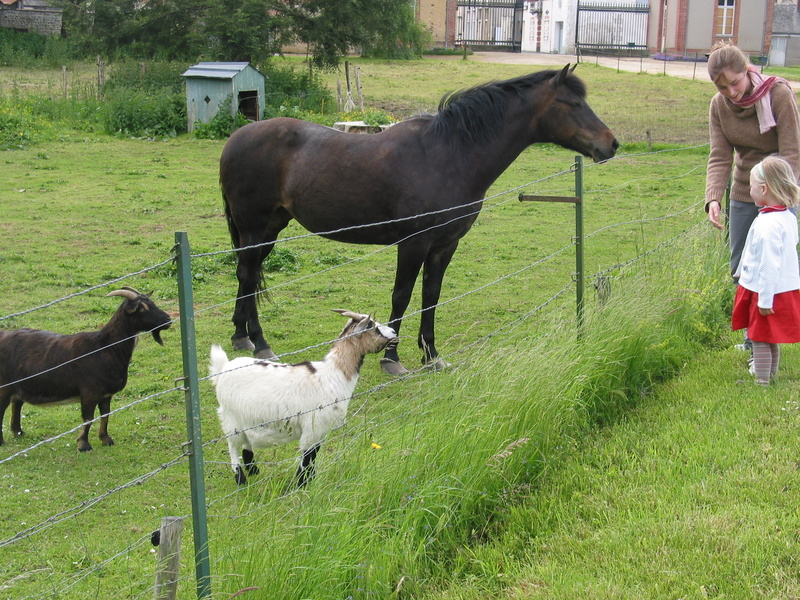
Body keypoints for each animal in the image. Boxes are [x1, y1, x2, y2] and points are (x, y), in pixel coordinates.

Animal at [0, 286, 173, 450]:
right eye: (142, 308)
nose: (168, 320)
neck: (105, 348)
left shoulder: (106, 395)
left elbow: (105, 415)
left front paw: (106, 439)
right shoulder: (89, 393)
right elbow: (88, 418)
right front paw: (83, 445)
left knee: (17, 402)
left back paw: (18, 432)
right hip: (5, 386)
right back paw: (2, 441)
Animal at [216, 67, 616, 376]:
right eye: (574, 104)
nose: (611, 145)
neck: (447, 155)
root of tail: (236, 137)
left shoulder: (444, 245)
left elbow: (431, 296)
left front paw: (432, 356)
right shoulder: (413, 244)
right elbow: (402, 296)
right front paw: (391, 359)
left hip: (270, 229)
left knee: (245, 274)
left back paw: (240, 335)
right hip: (254, 228)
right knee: (248, 276)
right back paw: (260, 343)